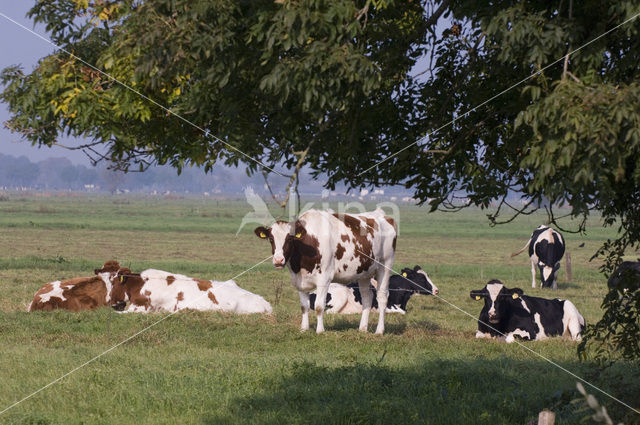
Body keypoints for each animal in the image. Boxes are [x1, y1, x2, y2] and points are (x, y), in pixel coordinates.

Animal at [254, 207, 396, 332]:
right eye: (271, 239)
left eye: (289, 238)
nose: (278, 260)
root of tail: (383, 215)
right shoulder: (299, 280)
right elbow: (304, 306)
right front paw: (304, 329)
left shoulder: (324, 278)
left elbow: (318, 306)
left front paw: (320, 330)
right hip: (364, 272)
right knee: (367, 297)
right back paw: (362, 328)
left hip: (385, 266)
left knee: (382, 297)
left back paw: (379, 330)